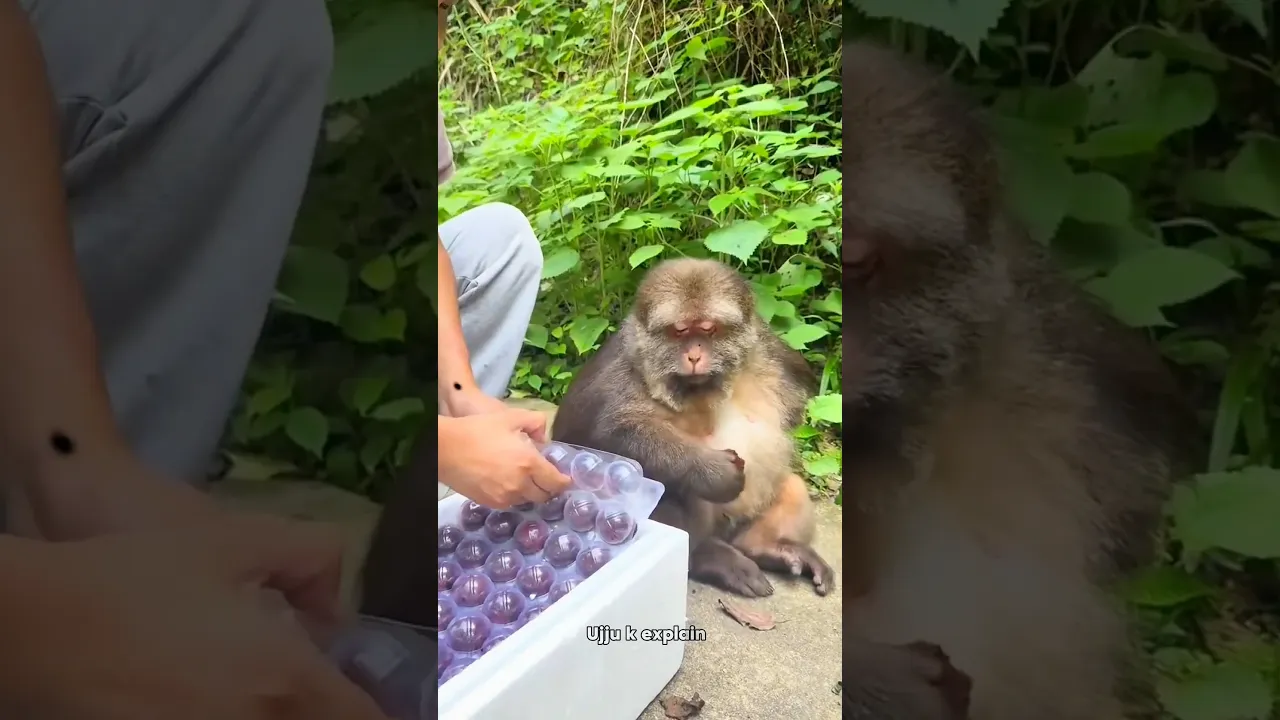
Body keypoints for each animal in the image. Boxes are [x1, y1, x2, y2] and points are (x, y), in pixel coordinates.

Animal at [551, 258, 836, 598]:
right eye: (679, 331)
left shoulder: (772, 351)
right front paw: (714, 471)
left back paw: (767, 547)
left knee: (791, 485)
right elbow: (596, 439)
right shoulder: (618, 374)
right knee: (679, 488)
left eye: (709, 329)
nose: (695, 355)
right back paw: (706, 556)